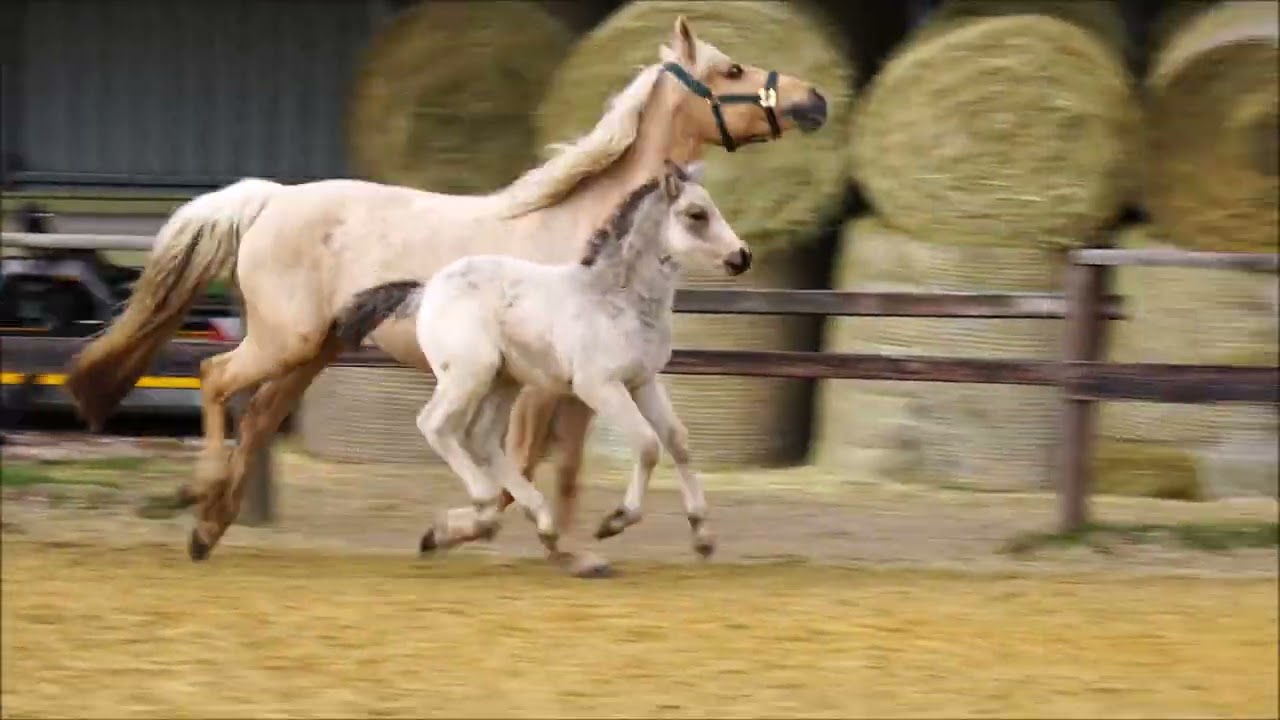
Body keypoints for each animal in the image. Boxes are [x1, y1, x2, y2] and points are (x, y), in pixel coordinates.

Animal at [332, 160, 745, 563]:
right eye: (696, 214)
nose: (742, 257)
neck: (616, 300)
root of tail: (426, 288)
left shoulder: (643, 381)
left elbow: (677, 440)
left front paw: (703, 535)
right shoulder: (598, 386)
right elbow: (647, 444)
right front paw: (615, 521)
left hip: (503, 380)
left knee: (481, 438)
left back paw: (539, 523)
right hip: (469, 374)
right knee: (435, 424)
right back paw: (483, 504)